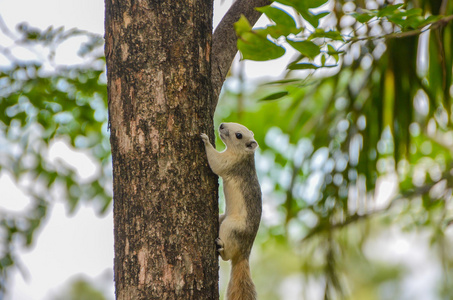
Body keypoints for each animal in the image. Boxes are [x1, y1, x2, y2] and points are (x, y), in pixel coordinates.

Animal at [200, 122, 262, 300]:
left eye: (239, 135)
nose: (221, 125)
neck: (244, 155)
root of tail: (244, 253)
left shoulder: (229, 163)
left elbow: (216, 163)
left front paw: (206, 141)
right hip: (223, 219)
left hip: (231, 227)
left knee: (227, 256)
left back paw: (221, 247)